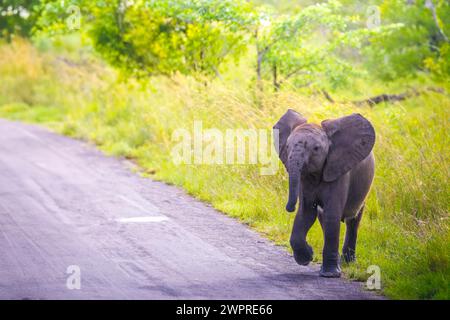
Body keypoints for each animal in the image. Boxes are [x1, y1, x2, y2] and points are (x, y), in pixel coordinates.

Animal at [274, 109, 376, 276]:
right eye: (287, 146)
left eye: (316, 149)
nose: (289, 208)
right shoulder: (305, 179)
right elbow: (306, 213)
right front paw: (307, 257)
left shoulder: (338, 171)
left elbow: (331, 214)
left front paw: (330, 275)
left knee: (353, 220)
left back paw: (348, 262)